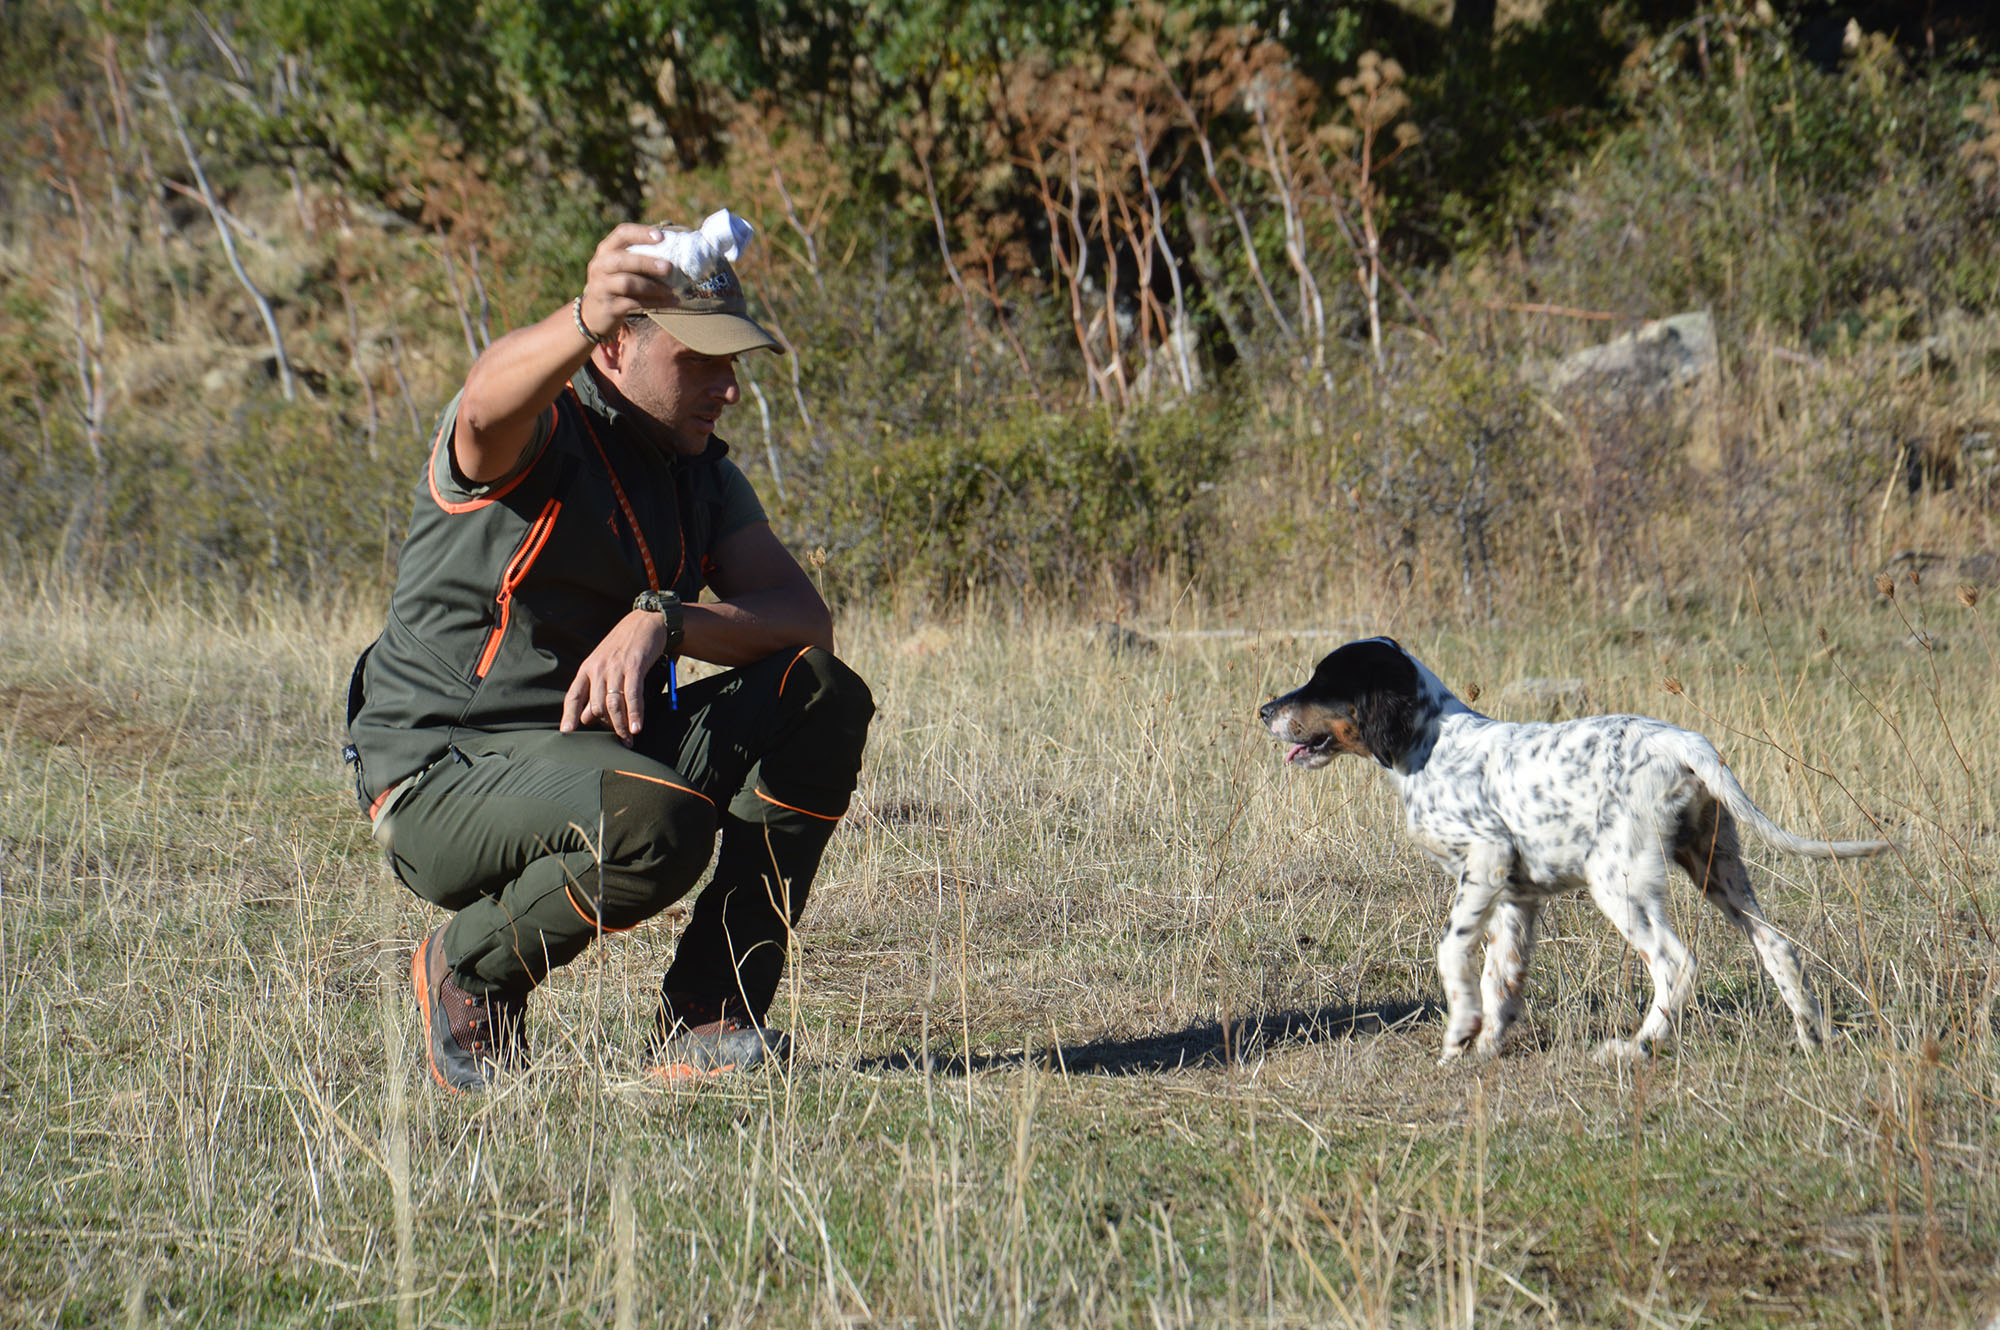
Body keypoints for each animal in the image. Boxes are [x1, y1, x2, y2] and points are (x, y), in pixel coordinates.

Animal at [1264, 640, 1888, 1064]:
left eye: (1322, 682)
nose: (1265, 711)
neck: (1432, 746)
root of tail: (1683, 743)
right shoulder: (1515, 897)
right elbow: (1501, 976)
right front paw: (1486, 1045)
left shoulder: (1484, 859)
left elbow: (1452, 952)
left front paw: (1460, 1031)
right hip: (1717, 865)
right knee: (1777, 945)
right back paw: (1813, 1036)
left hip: (1619, 880)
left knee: (1676, 961)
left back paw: (1636, 1047)